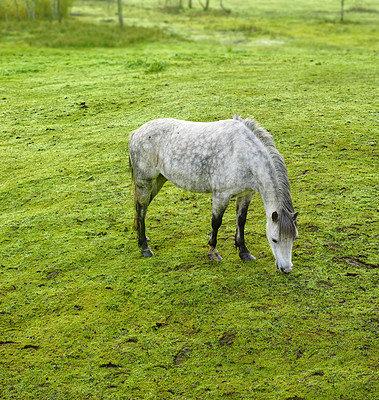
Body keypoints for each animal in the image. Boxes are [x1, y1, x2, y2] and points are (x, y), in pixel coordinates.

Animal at [129, 114, 298, 274]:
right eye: (274, 239)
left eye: (294, 238)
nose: (286, 269)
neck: (243, 154)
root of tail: (136, 132)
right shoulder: (221, 195)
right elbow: (216, 222)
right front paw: (213, 252)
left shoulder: (246, 194)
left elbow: (241, 221)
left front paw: (244, 252)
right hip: (145, 181)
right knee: (141, 208)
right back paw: (144, 247)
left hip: (158, 180)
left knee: (142, 208)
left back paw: (140, 236)